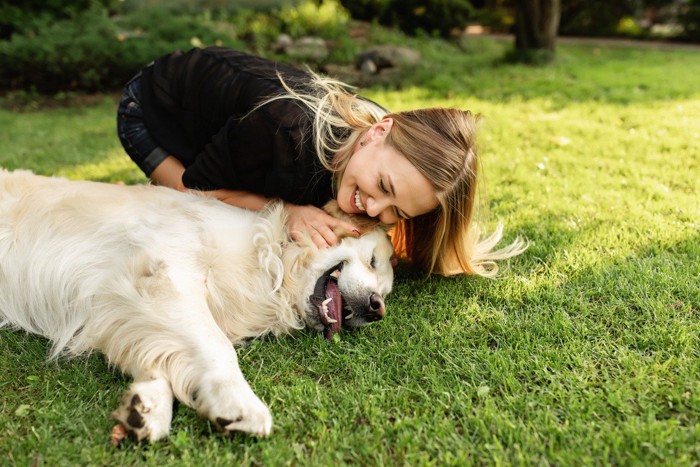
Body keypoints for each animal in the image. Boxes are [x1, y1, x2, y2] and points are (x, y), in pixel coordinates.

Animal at [0, 168, 394, 442]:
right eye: (374, 260)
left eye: (386, 292)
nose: (377, 308)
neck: (271, 258)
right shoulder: (164, 272)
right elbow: (216, 346)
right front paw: (238, 404)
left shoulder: (124, 303)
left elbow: (153, 350)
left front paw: (146, 407)